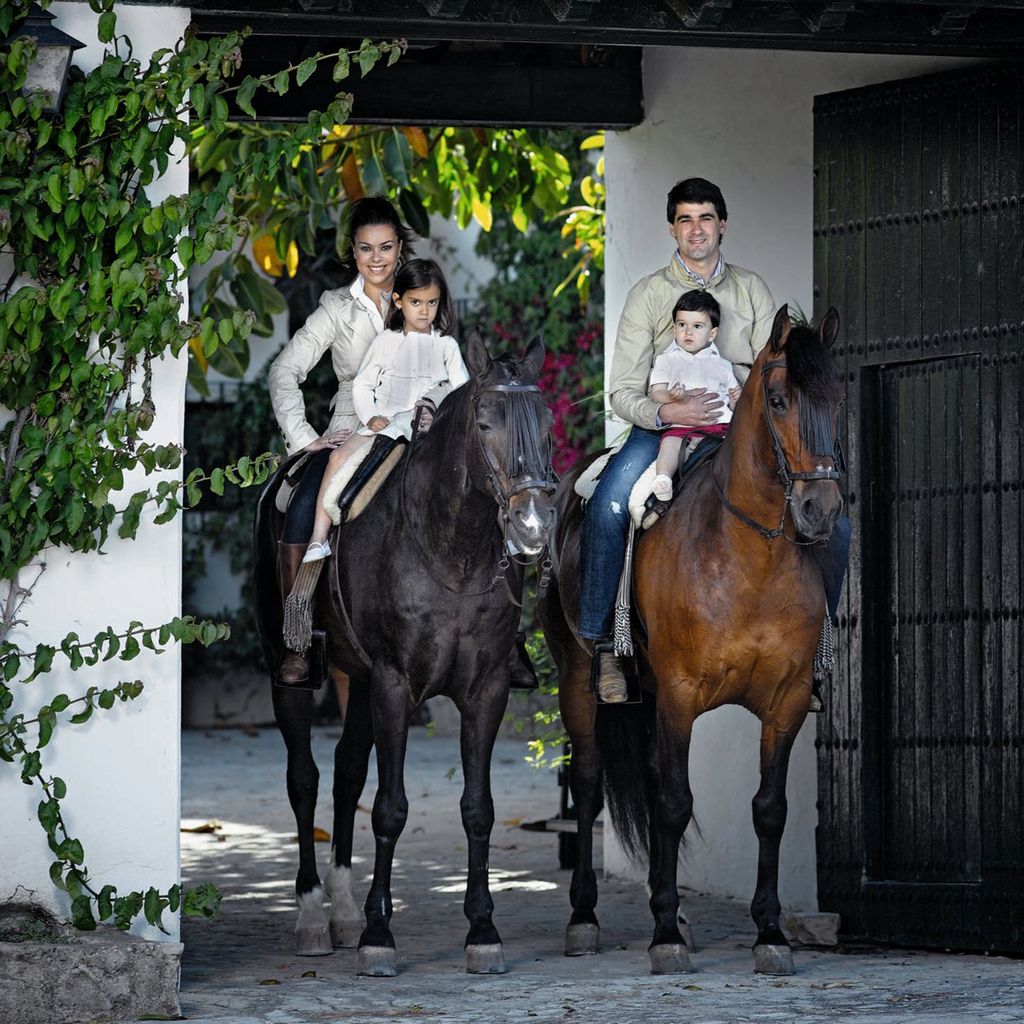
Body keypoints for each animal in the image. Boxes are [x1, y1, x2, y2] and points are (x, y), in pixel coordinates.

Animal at [256, 333, 561, 974]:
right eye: (485, 423)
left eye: (547, 423)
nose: (531, 526)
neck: (452, 550)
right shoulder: (396, 684)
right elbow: (390, 808)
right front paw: (379, 934)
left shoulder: (486, 689)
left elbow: (478, 807)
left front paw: (482, 930)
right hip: (288, 669)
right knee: (304, 779)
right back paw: (312, 916)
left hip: (357, 680)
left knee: (346, 775)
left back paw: (343, 912)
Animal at [540, 301, 843, 974]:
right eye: (778, 400)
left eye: (838, 396)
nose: (821, 510)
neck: (747, 555)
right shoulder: (680, 694)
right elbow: (675, 803)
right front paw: (664, 939)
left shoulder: (785, 702)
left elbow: (768, 810)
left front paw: (769, 933)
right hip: (579, 684)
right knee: (591, 786)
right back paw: (583, 919)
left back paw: (668, 906)